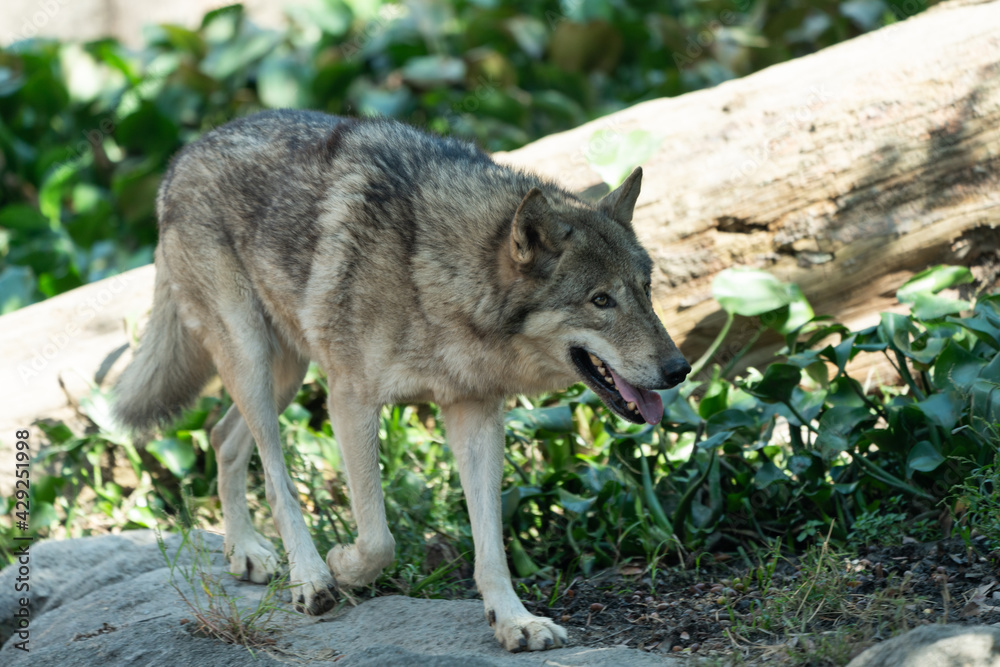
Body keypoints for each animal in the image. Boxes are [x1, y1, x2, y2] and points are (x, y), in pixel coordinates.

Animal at [109, 111, 688, 652]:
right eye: (600, 300)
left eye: (645, 289)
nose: (679, 369)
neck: (436, 273)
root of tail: (183, 155)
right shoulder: (350, 401)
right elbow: (378, 539)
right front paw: (343, 567)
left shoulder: (475, 411)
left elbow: (491, 544)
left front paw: (514, 621)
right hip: (253, 358)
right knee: (274, 476)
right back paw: (309, 577)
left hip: (285, 375)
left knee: (222, 438)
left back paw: (246, 554)